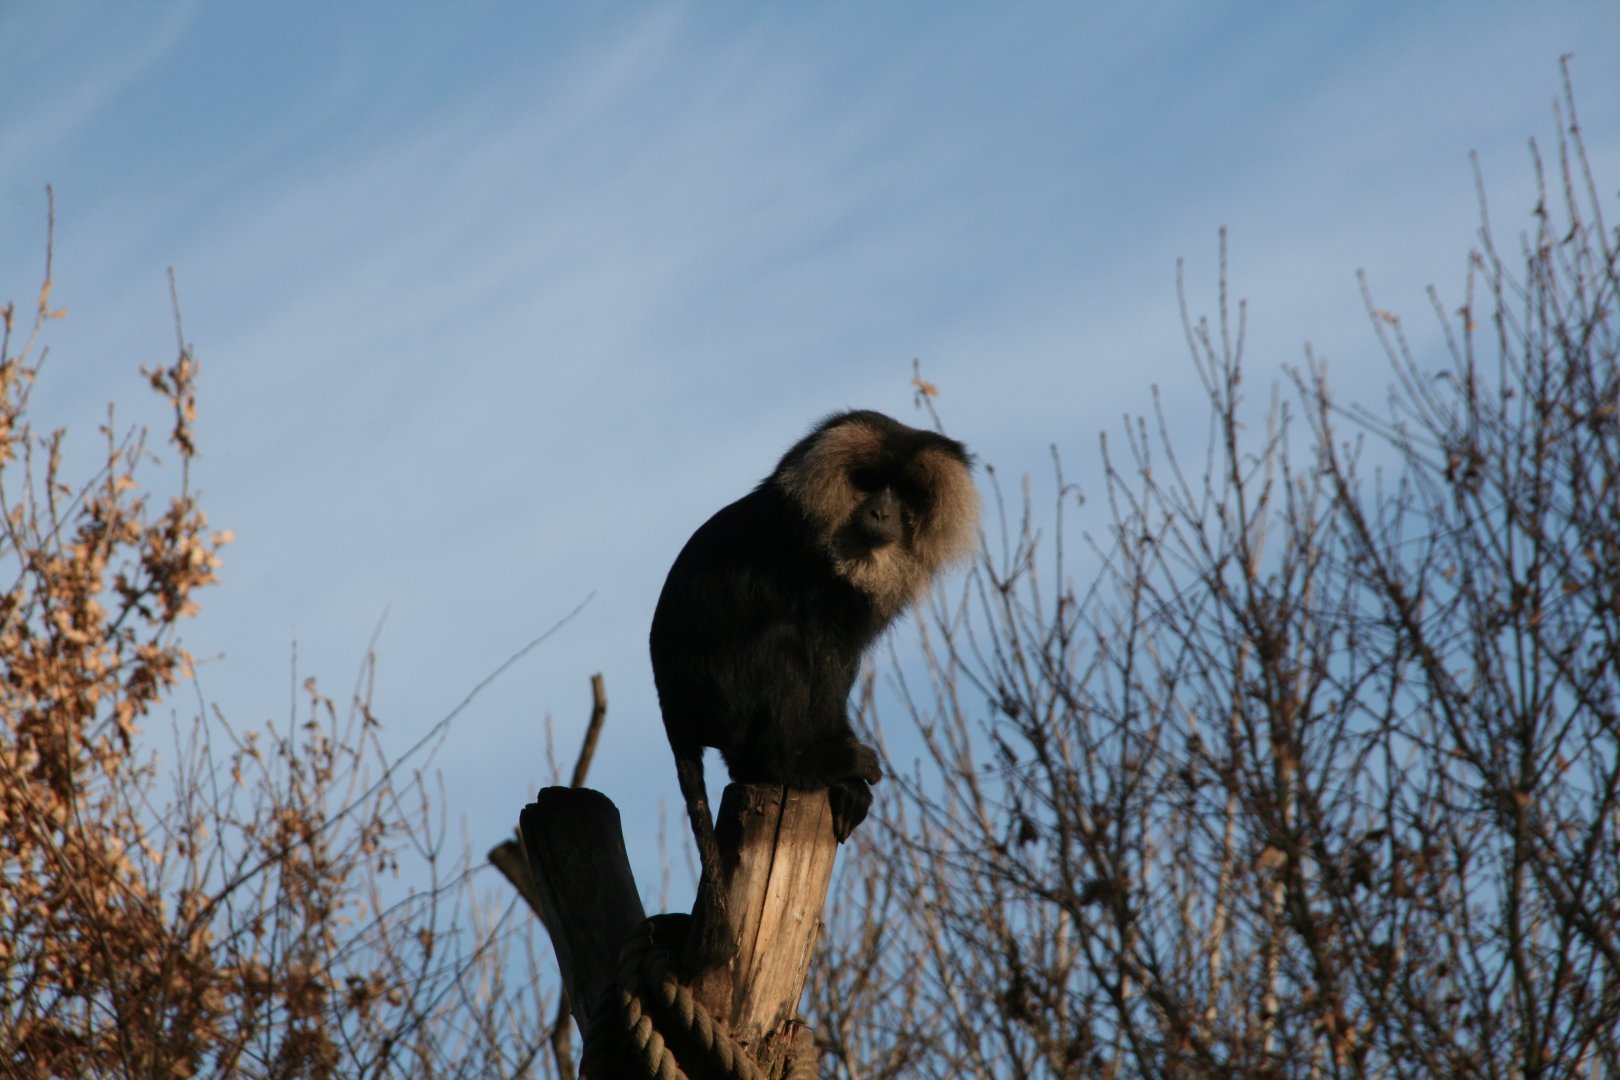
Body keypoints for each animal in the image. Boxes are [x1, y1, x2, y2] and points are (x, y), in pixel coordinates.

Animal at [649, 409, 979, 970]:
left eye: (906, 492)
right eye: (869, 481)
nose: (881, 512)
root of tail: (673, 712)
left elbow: (839, 666)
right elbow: (815, 650)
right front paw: (838, 767)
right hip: (722, 701)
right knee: (784, 644)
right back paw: (786, 763)